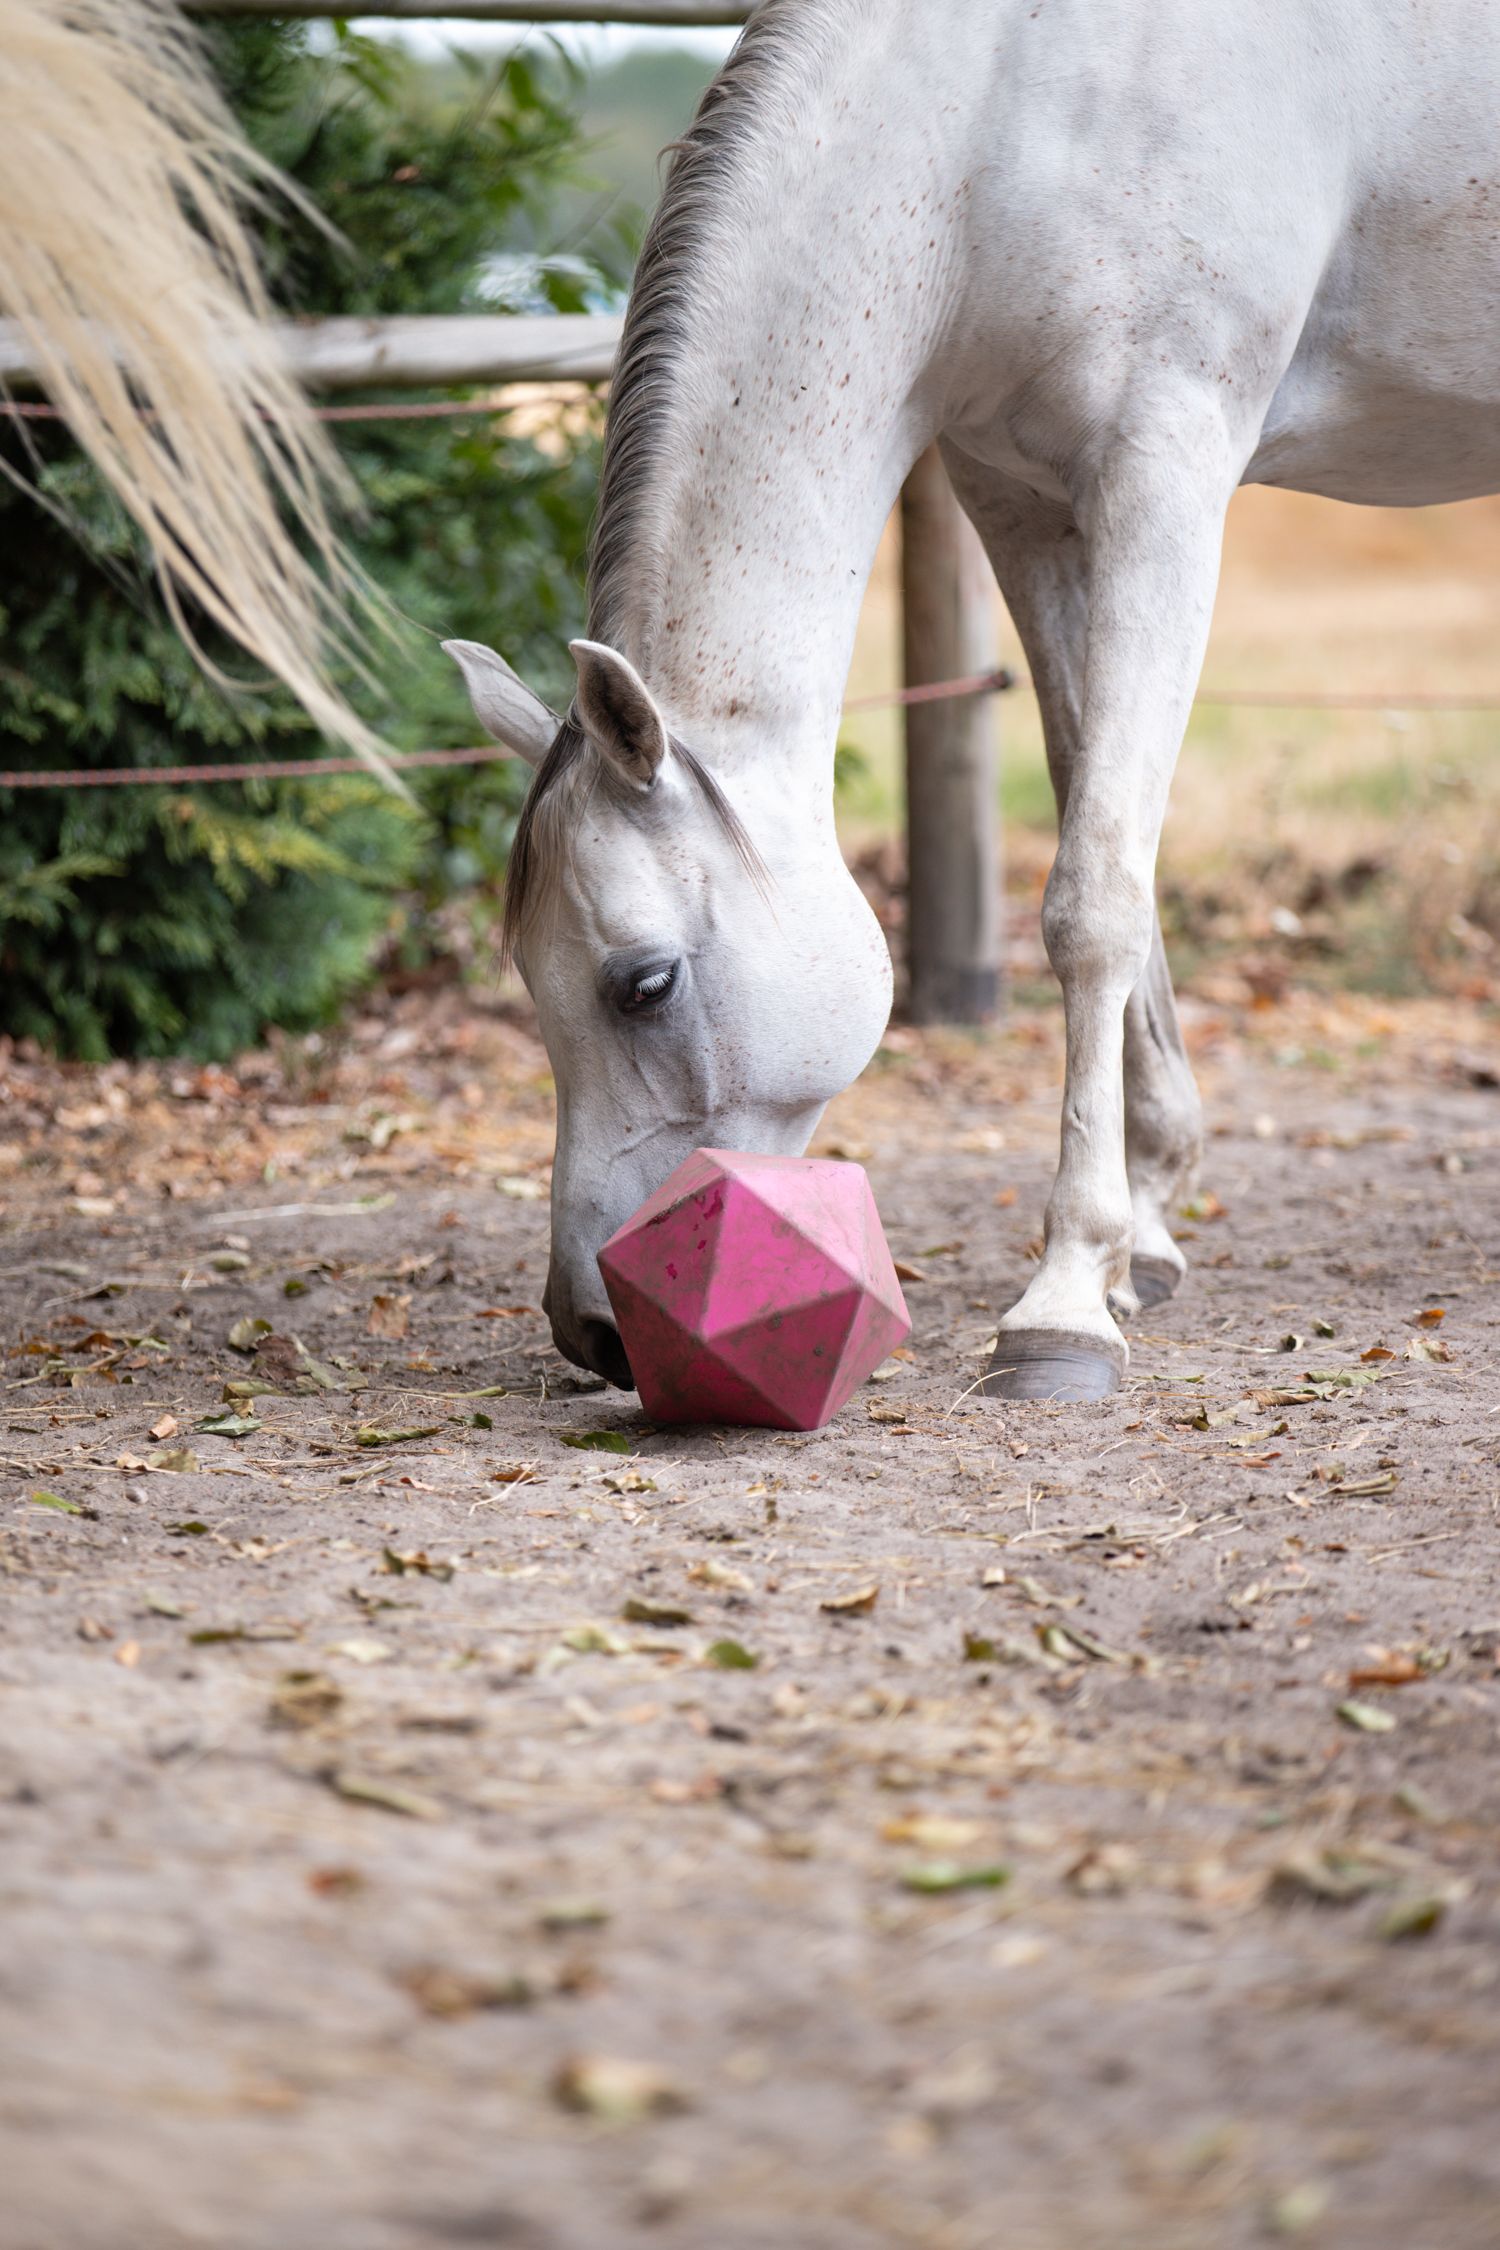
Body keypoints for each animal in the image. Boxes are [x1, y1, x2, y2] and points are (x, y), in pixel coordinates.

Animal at [447, 0, 1500, 1403]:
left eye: (644, 985)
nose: (591, 1333)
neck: (1005, 96)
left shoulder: (1165, 482)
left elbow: (1091, 899)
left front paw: (1064, 1303)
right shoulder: (1024, 502)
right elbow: (1100, 821)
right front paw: (1142, 1233)